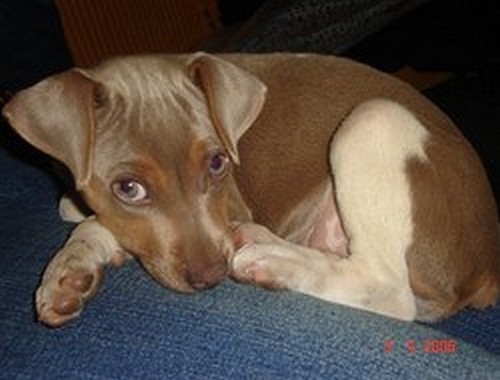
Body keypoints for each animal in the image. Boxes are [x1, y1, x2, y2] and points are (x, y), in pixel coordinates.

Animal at [3, 53, 500, 326]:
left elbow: (92, 221)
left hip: (375, 118)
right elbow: (86, 215)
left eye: (218, 163)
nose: (211, 277)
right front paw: (71, 271)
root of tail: (486, 266)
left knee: (389, 291)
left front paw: (71, 262)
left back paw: (274, 260)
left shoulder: (231, 207)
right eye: (129, 188)